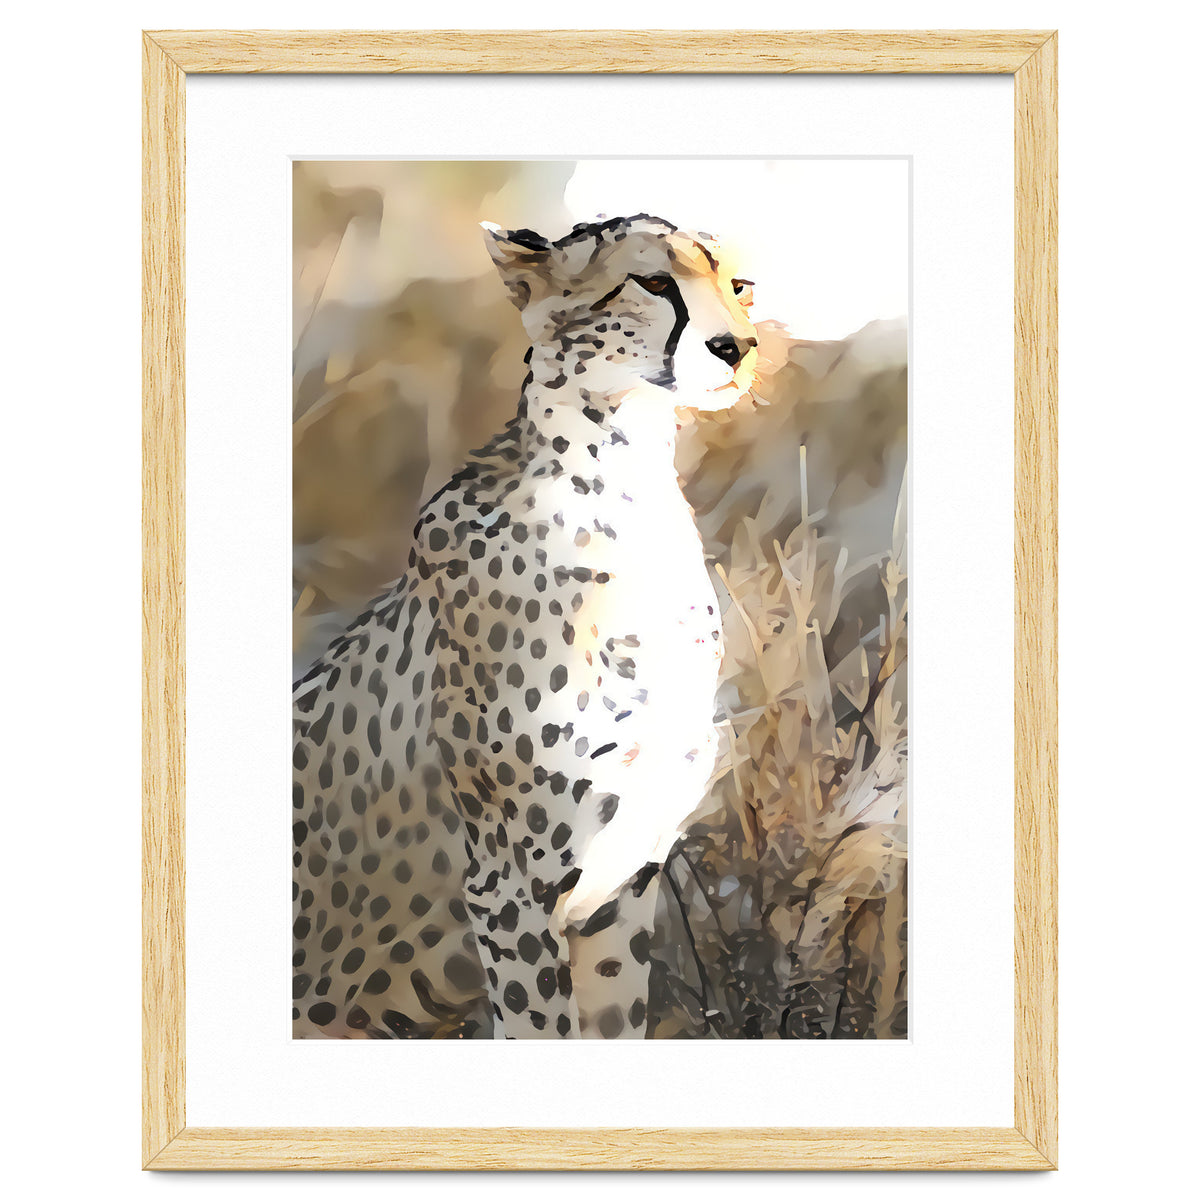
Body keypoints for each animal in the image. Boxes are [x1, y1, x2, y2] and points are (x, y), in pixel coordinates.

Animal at [292, 213, 759, 1039]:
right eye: (654, 281)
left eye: (740, 286)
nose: (739, 347)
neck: (626, 488)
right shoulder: (508, 893)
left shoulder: (618, 892)